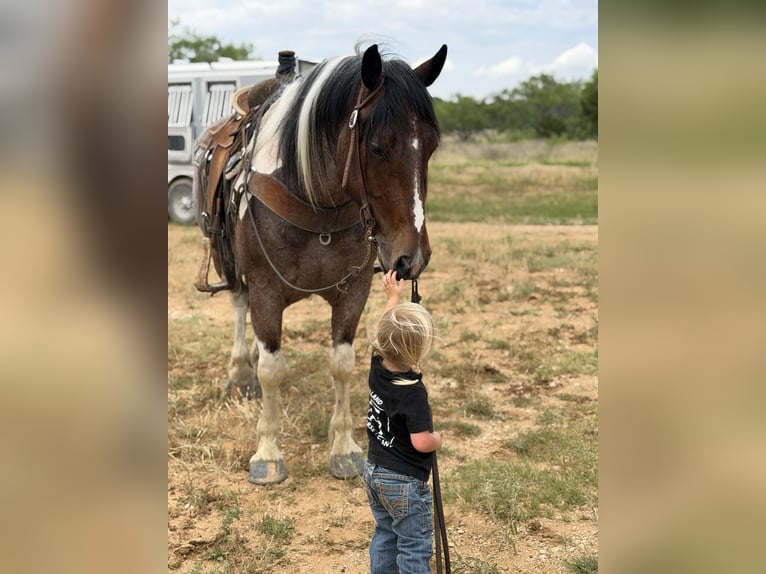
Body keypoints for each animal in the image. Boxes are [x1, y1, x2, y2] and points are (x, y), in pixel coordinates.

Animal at [196, 43, 447, 485]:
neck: (315, 201)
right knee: (240, 309)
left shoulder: (354, 293)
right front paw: (268, 454)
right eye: (377, 147)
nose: (412, 256)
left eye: (431, 146)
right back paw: (240, 373)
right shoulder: (265, 291)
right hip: (229, 260)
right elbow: (272, 370)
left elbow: (343, 365)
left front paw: (344, 449)